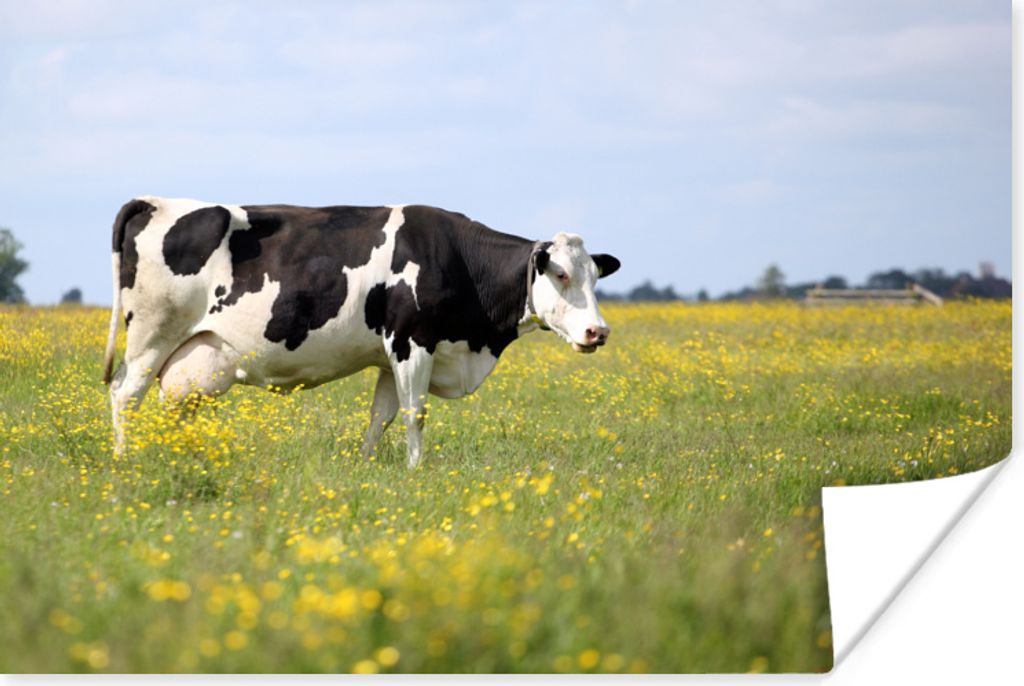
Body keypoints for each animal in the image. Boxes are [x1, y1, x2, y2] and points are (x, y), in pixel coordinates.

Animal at [102, 197, 621, 468]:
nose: (598, 331)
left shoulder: (393, 354)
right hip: (151, 334)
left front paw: (369, 463)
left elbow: (382, 416)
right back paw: (124, 460)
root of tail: (155, 202)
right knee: (125, 394)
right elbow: (415, 414)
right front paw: (416, 470)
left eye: (596, 276)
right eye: (560, 275)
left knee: (176, 407)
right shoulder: (413, 341)